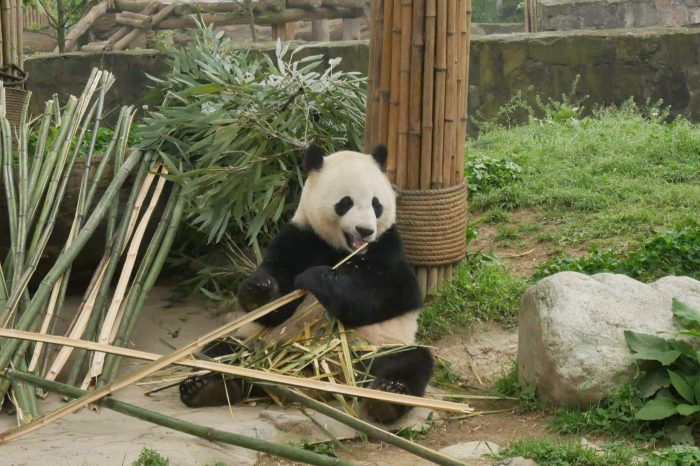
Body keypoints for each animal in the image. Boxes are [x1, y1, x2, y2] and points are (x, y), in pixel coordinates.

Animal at [178, 144, 434, 424]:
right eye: (345, 203)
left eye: (376, 204)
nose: (365, 230)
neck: (343, 250)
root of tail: (323, 376)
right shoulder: (300, 236)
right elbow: (276, 304)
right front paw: (259, 291)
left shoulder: (388, 246)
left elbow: (390, 293)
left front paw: (317, 277)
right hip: (257, 343)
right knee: (222, 351)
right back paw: (205, 388)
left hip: (374, 348)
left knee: (409, 361)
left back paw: (387, 397)